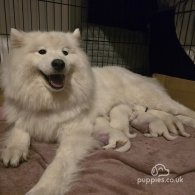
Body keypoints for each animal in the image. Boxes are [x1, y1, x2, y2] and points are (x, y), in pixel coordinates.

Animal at [1, 28, 195, 194]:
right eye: (42, 51)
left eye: (65, 52)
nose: (59, 63)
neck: (50, 100)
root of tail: (139, 74)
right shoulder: (24, 115)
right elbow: (19, 130)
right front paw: (13, 150)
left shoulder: (75, 133)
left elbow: (59, 163)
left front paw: (44, 187)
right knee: (179, 116)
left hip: (157, 101)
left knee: (185, 110)